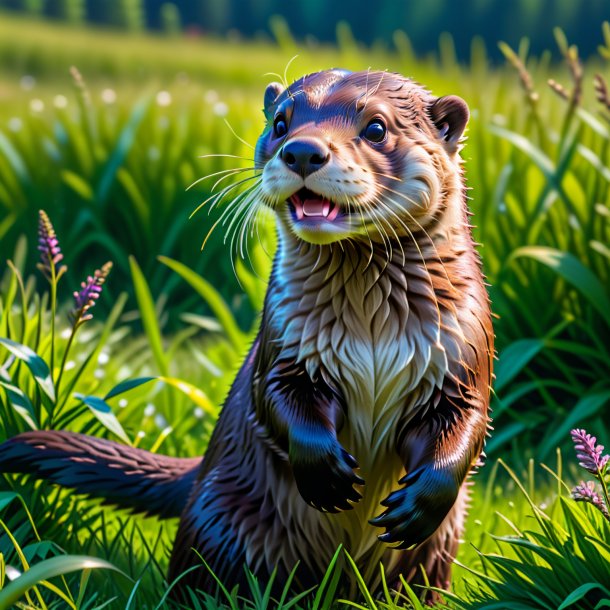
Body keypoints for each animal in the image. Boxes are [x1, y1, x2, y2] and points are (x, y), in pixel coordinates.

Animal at [0, 70, 492, 600]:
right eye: (281, 122)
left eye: (377, 127)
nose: (302, 151)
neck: (372, 336)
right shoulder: (284, 346)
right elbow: (275, 400)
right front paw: (327, 474)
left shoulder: (462, 353)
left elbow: (467, 423)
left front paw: (417, 504)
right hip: (220, 520)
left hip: (437, 549)